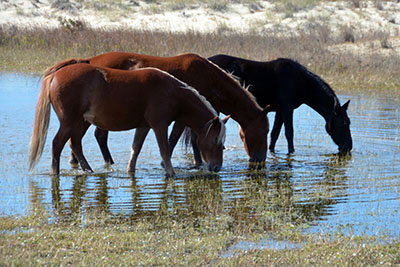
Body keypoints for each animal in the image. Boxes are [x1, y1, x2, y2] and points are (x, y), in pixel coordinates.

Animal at [28, 64, 228, 178]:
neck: (172, 92)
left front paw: (130, 170)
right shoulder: (159, 125)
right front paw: (171, 173)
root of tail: (55, 75)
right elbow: (164, 149)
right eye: (215, 141)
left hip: (82, 122)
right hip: (69, 121)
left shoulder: (144, 126)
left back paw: (88, 171)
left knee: (75, 144)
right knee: (57, 144)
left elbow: (136, 148)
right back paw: (55, 173)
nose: (217, 167)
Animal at [43, 52, 268, 168]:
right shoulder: (183, 118)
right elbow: (180, 138)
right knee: (95, 136)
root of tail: (89, 61)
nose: (260, 159)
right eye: (264, 130)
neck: (208, 77)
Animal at [208, 54, 352, 155]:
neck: (303, 84)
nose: (348, 147)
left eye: (349, 122)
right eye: (343, 123)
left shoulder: (280, 110)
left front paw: (272, 151)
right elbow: (289, 132)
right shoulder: (287, 108)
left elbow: (275, 134)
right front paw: (291, 152)